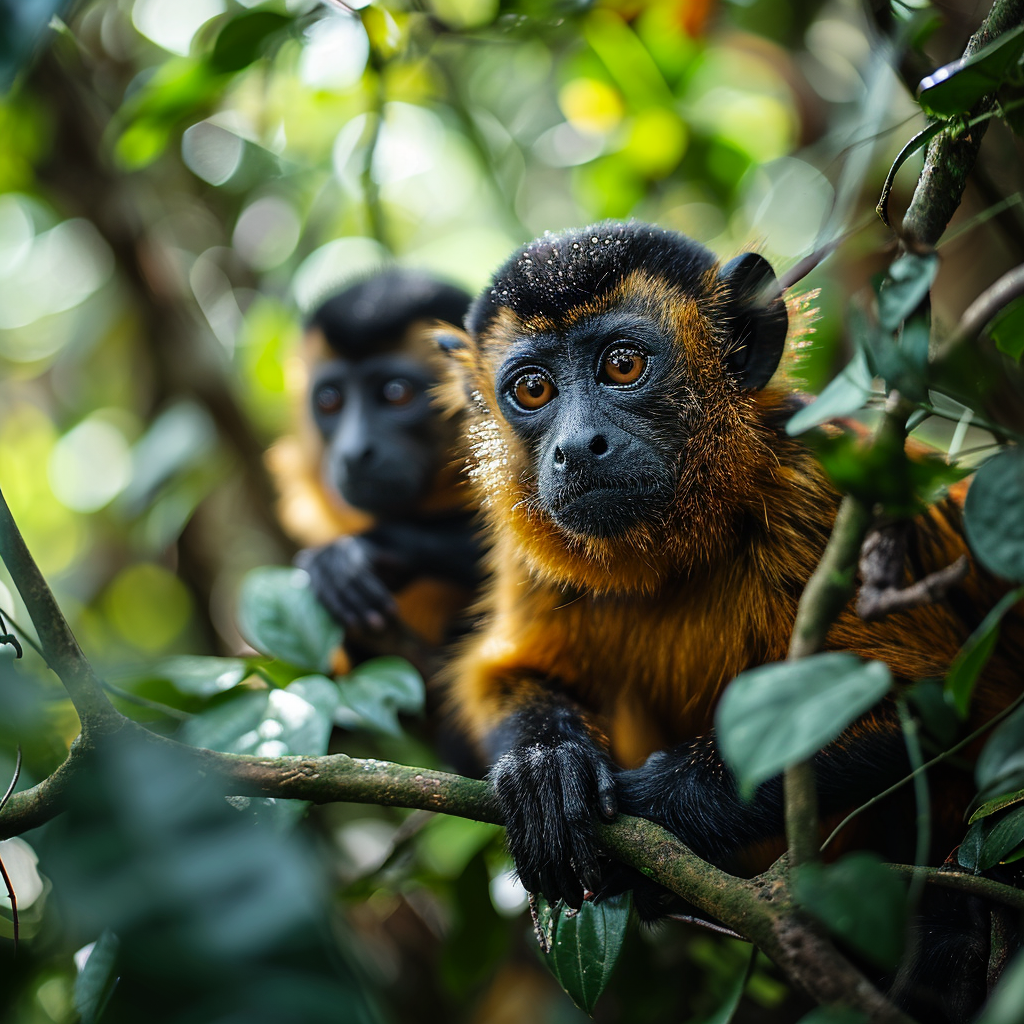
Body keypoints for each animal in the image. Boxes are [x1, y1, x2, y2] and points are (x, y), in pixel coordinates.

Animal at [434, 220, 1024, 1011]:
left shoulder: (819, 495)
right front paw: (543, 769)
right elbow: (511, 674)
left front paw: (652, 813)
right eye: (533, 389)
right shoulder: (535, 552)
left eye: (623, 365)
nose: (577, 447)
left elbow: (941, 707)